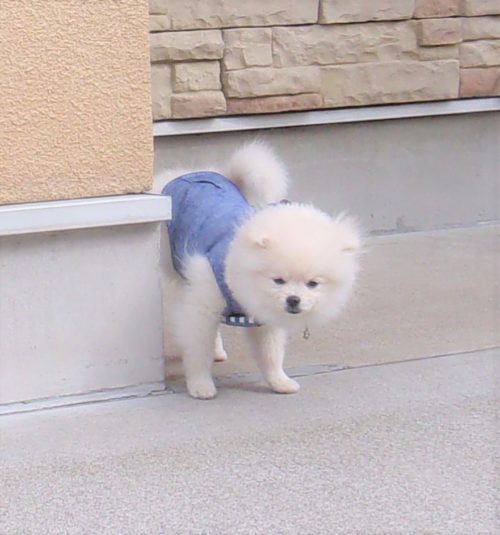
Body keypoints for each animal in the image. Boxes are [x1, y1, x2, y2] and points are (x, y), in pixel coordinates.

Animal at [155, 142, 361, 399]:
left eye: (312, 284)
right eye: (278, 280)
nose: (293, 300)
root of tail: (191, 172)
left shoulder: (264, 318)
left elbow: (270, 352)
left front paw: (279, 381)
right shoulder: (204, 302)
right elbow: (197, 348)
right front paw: (200, 385)